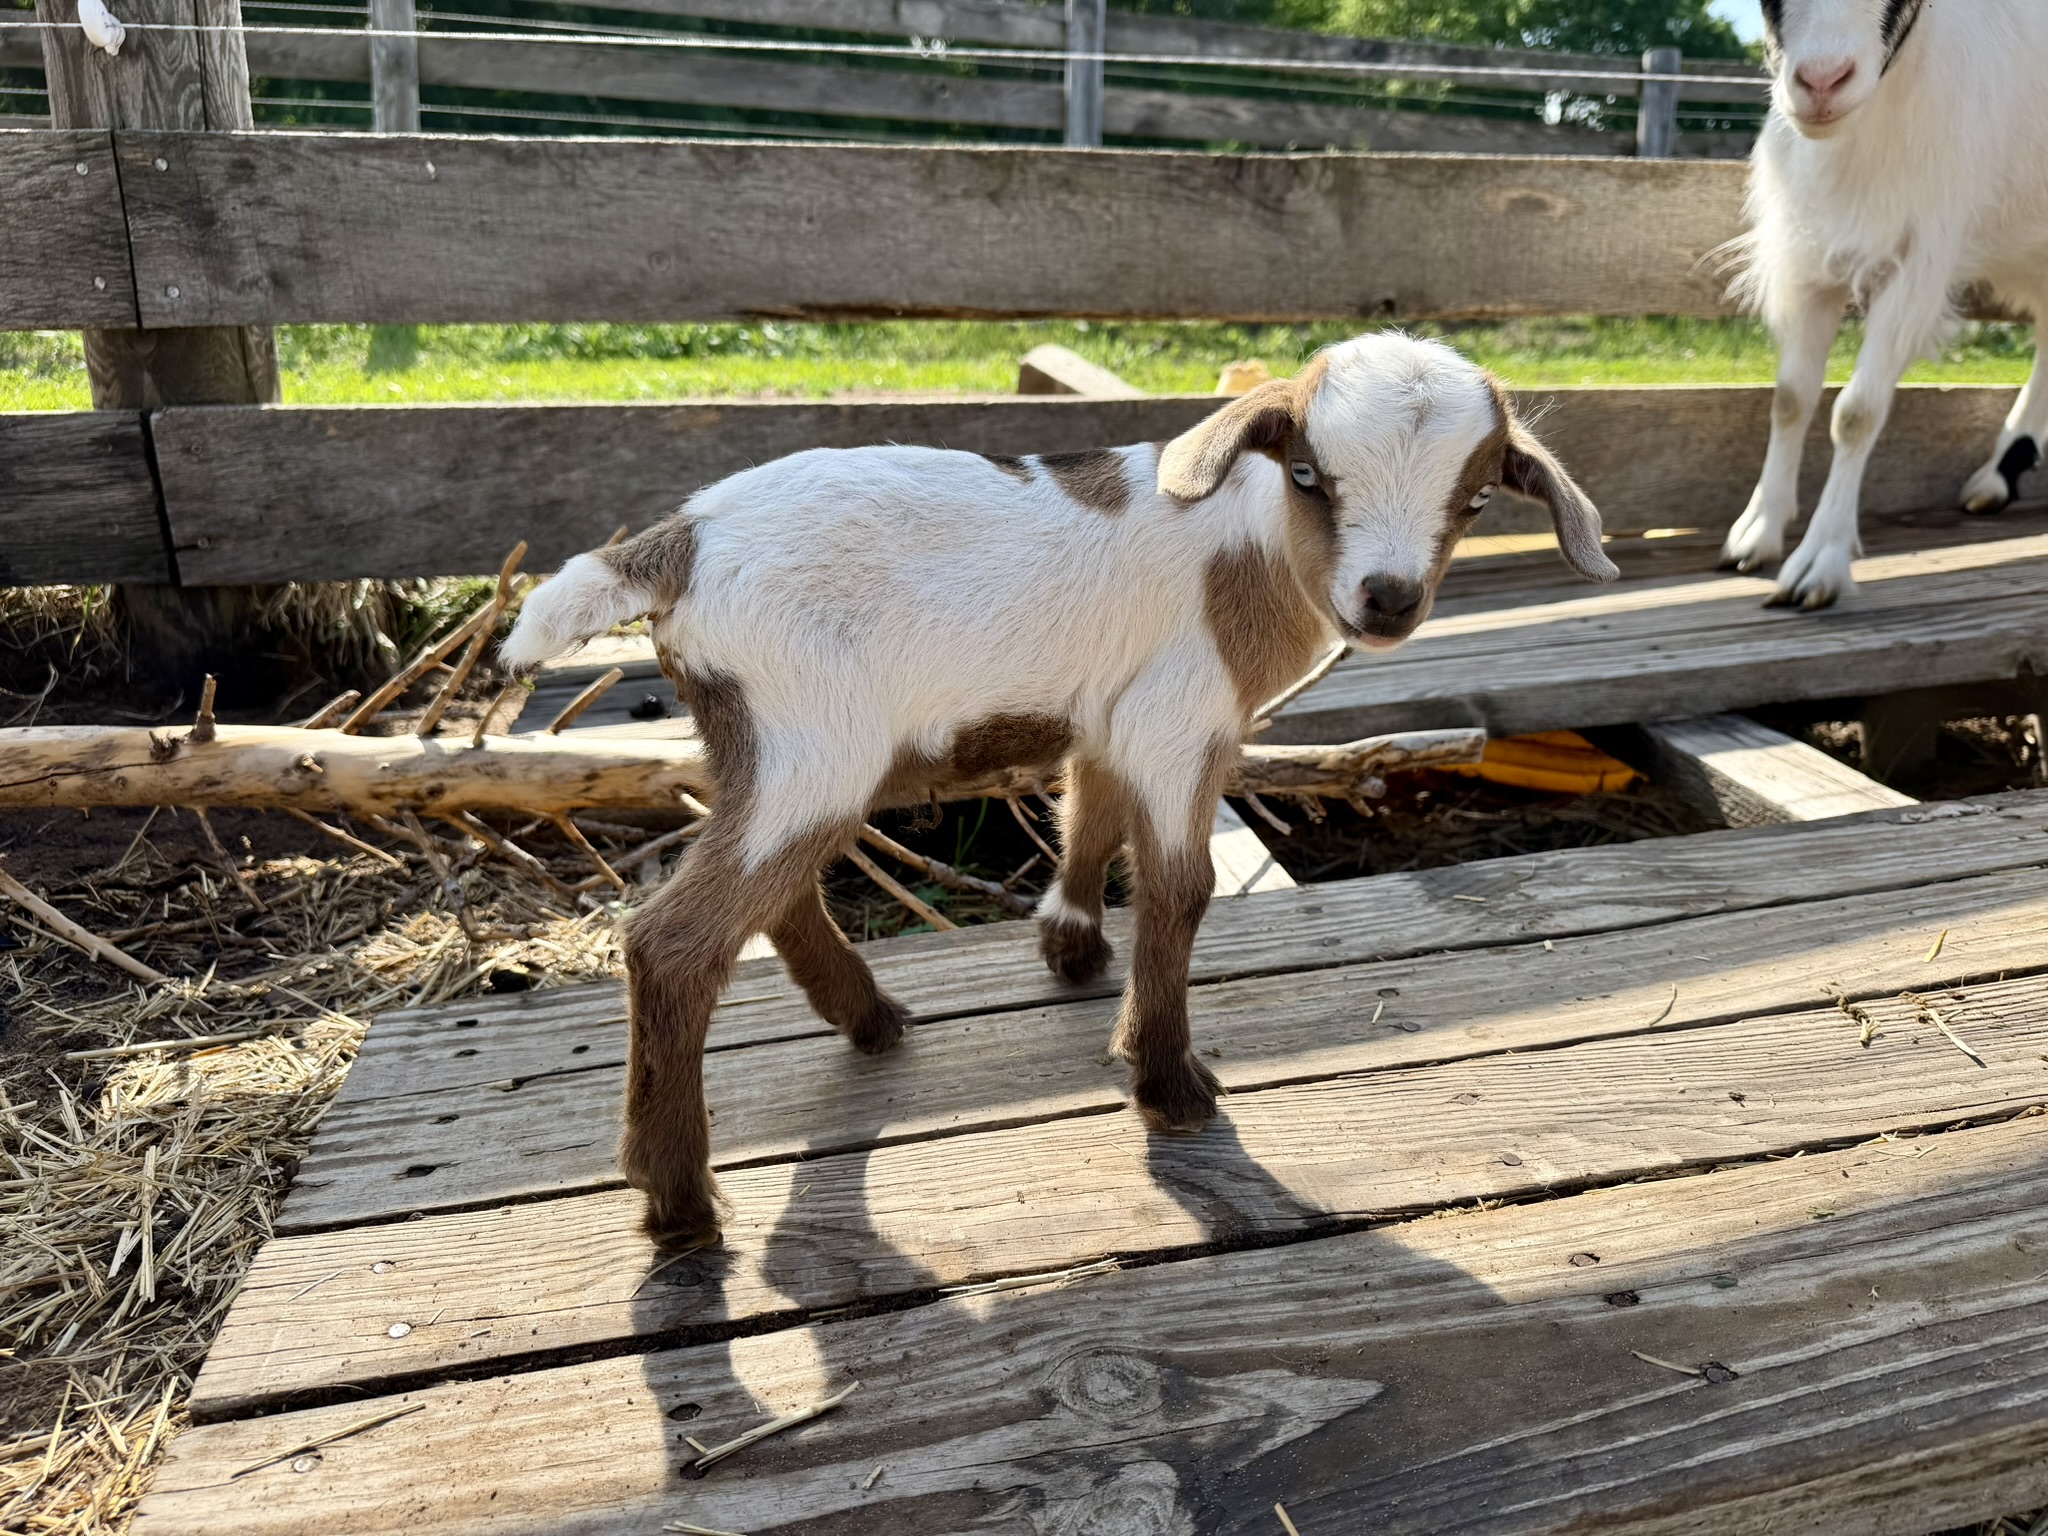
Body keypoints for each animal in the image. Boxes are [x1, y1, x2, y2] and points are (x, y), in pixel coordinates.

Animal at [500, 332, 1617, 1249]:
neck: (1246, 547)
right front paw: (1169, 1086)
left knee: (774, 891)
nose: (1385, 601)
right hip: (806, 735)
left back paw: (869, 1021)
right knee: (675, 941)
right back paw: (678, 1203)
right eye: (1307, 473)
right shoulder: (1179, 719)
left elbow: (1090, 812)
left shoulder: (1115, 713)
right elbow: (1179, 889)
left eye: (1476, 500)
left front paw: (1071, 948)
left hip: (770, 745)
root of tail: (675, 543)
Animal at [1721, 0, 2048, 609]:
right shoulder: (1811, 256)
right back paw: (1997, 476)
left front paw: (1817, 564)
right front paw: (1757, 531)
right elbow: (1790, 399)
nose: (1821, 82)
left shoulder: (1917, 260)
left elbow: (1856, 413)